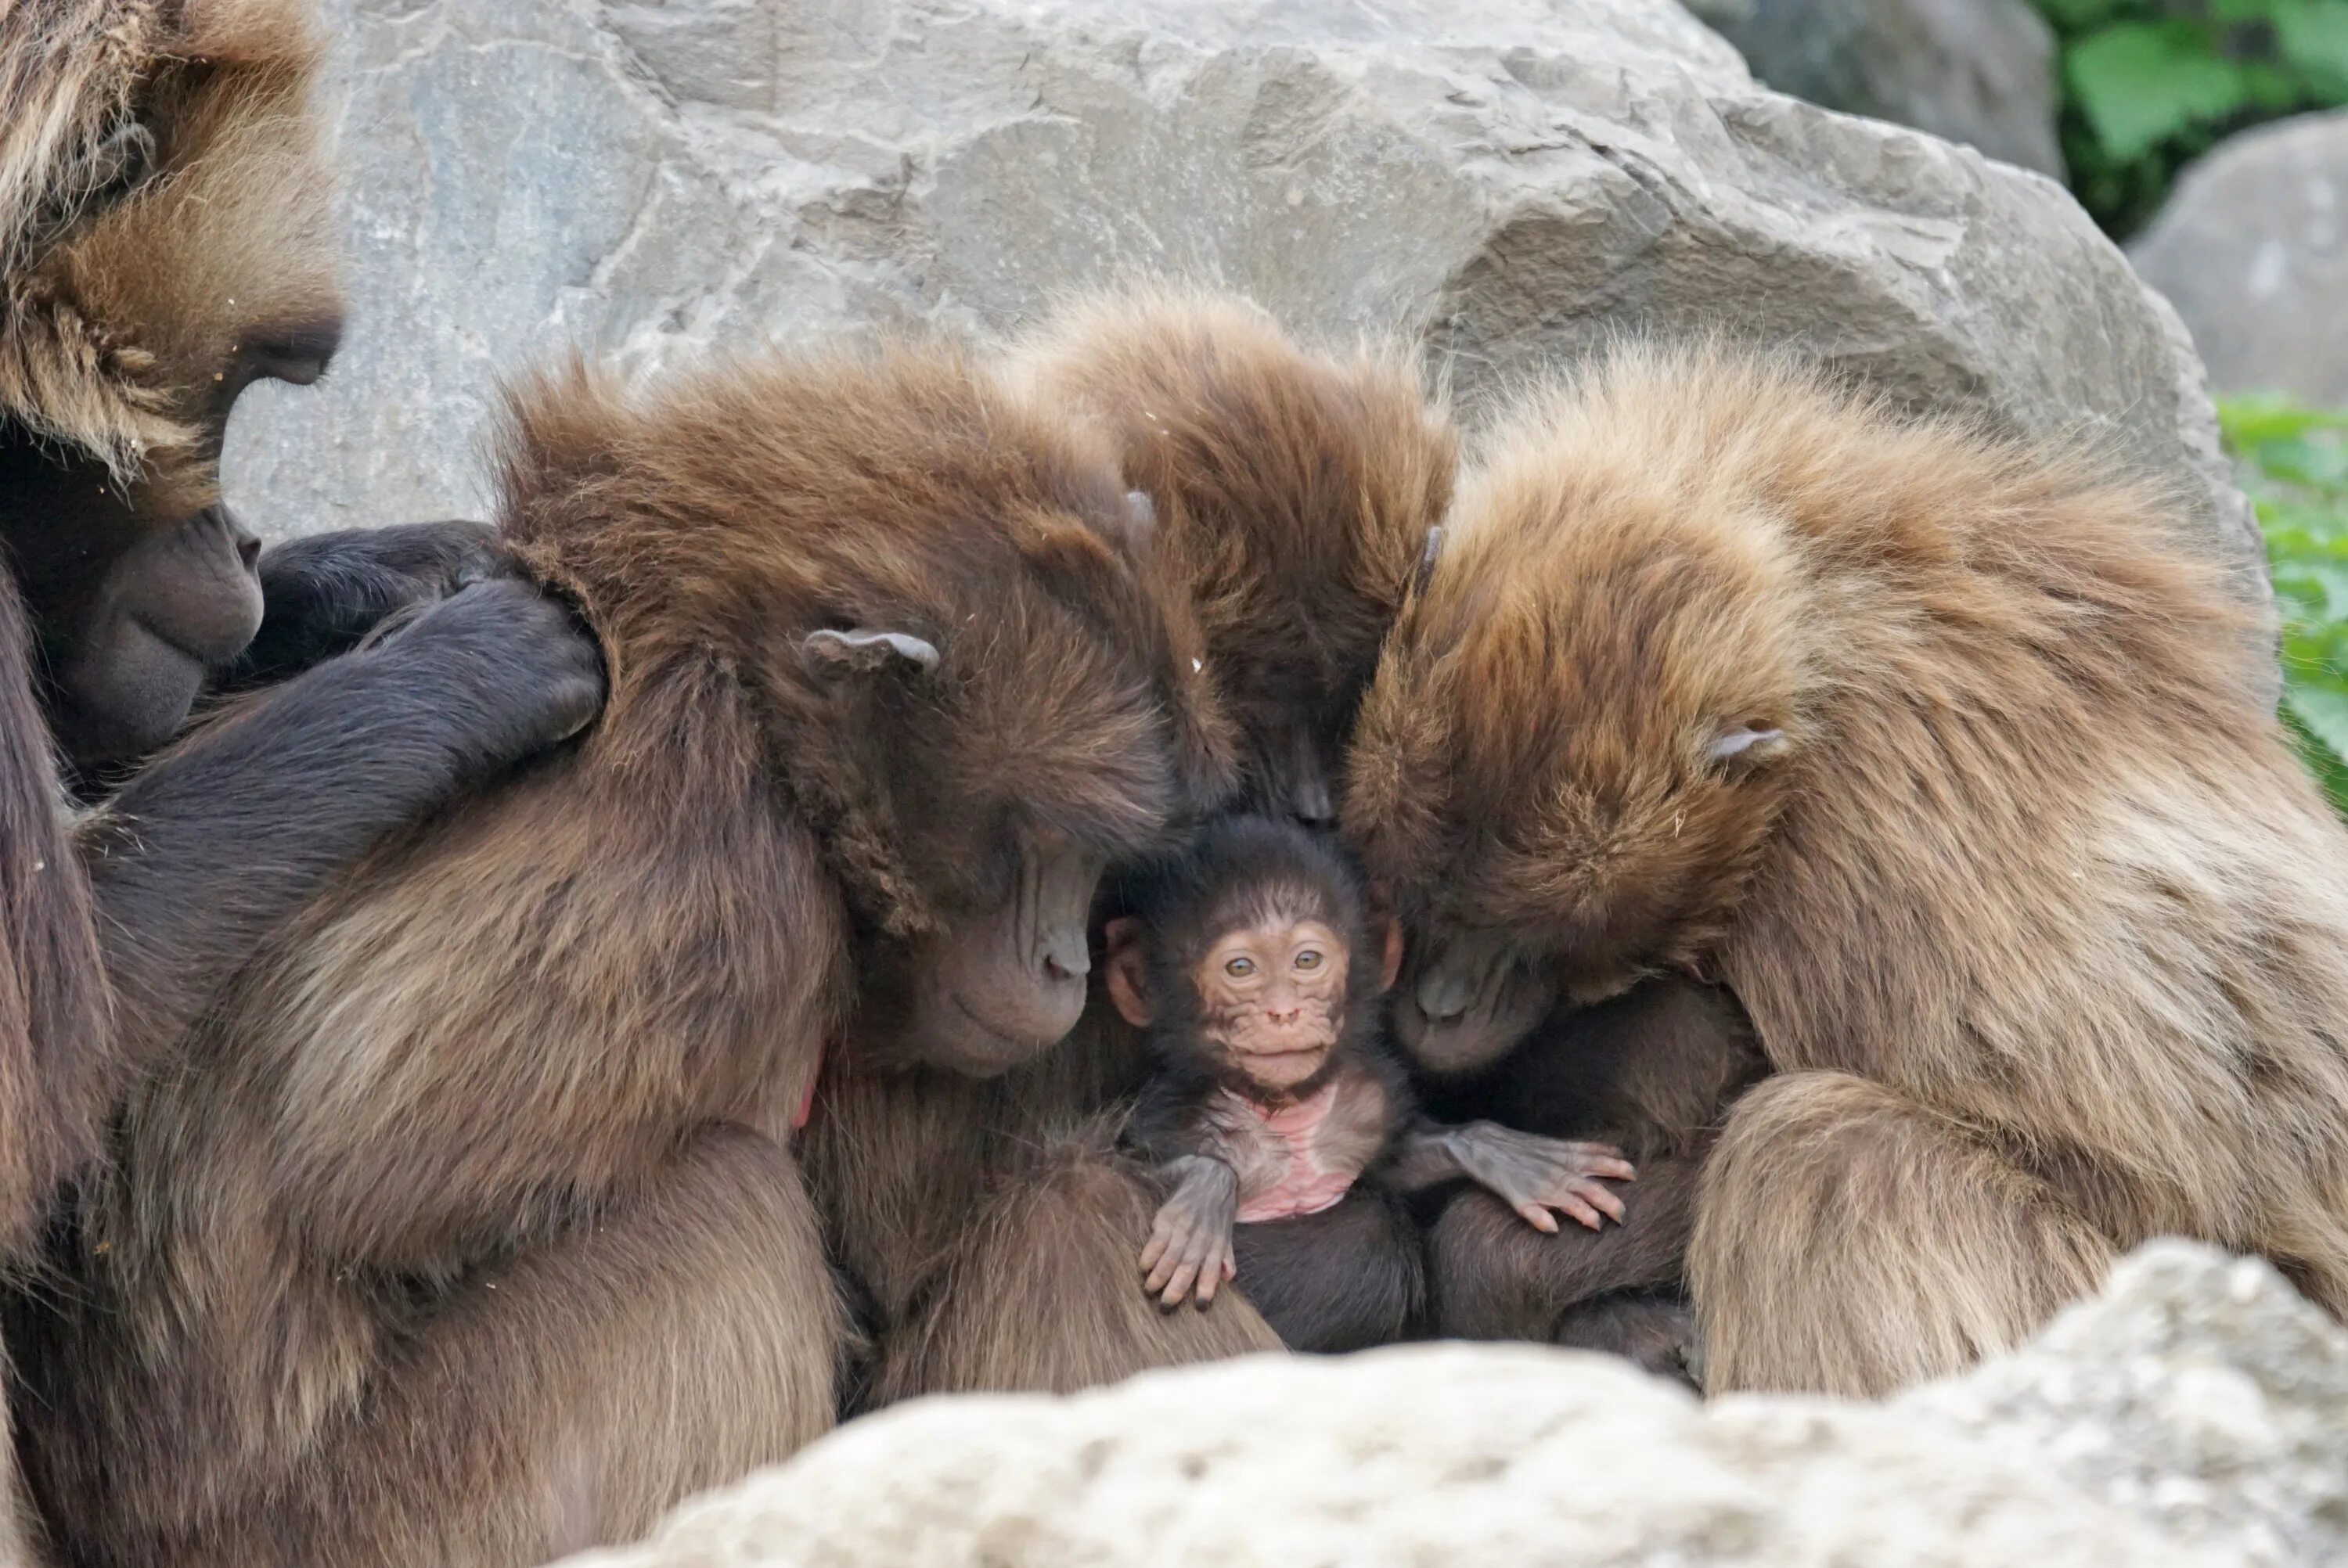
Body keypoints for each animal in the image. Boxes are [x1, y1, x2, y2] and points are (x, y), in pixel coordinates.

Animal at [18, 343, 1240, 1568]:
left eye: (1098, 858)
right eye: (1051, 846)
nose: (1066, 967)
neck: (735, 675)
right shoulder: (713, 880)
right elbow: (364, 1174)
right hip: (385, 1518)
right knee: (748, 1212)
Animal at [1104, 817, 1634, 1352]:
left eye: (1307, 961)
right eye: (1240, 969)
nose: (1283, 1012)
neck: (1285, 1113)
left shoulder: (1364, 1101)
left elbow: (1396, 1165)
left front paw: (1500, 1153)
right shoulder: (1173, 1116)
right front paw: (1203, 1194)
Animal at [1352, 340, 2348, 1399]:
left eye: (1534, 941)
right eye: (1426, 899)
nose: (1442, 1009)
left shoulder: (1861, 857)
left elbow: (2129, 1169)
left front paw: (1503, 1263)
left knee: (1823, 1151)